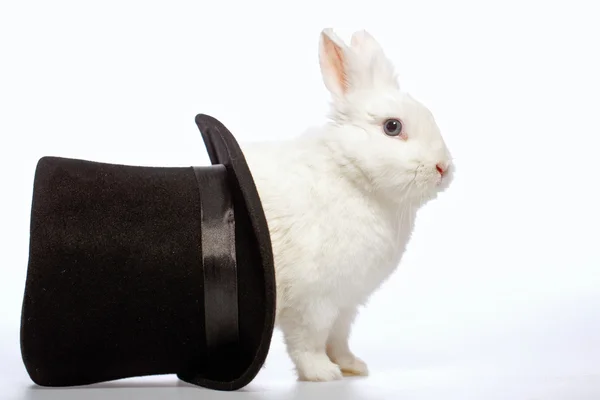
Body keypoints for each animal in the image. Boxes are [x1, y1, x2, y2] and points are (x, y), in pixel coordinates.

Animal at [240, 27, 454, 382]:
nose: (443, 168)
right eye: (392, 126)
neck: (352, 176)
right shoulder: (313, 302)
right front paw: (323, 374)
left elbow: (338, 338)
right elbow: (308, 343)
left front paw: (353, 367)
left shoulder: (346, 304)